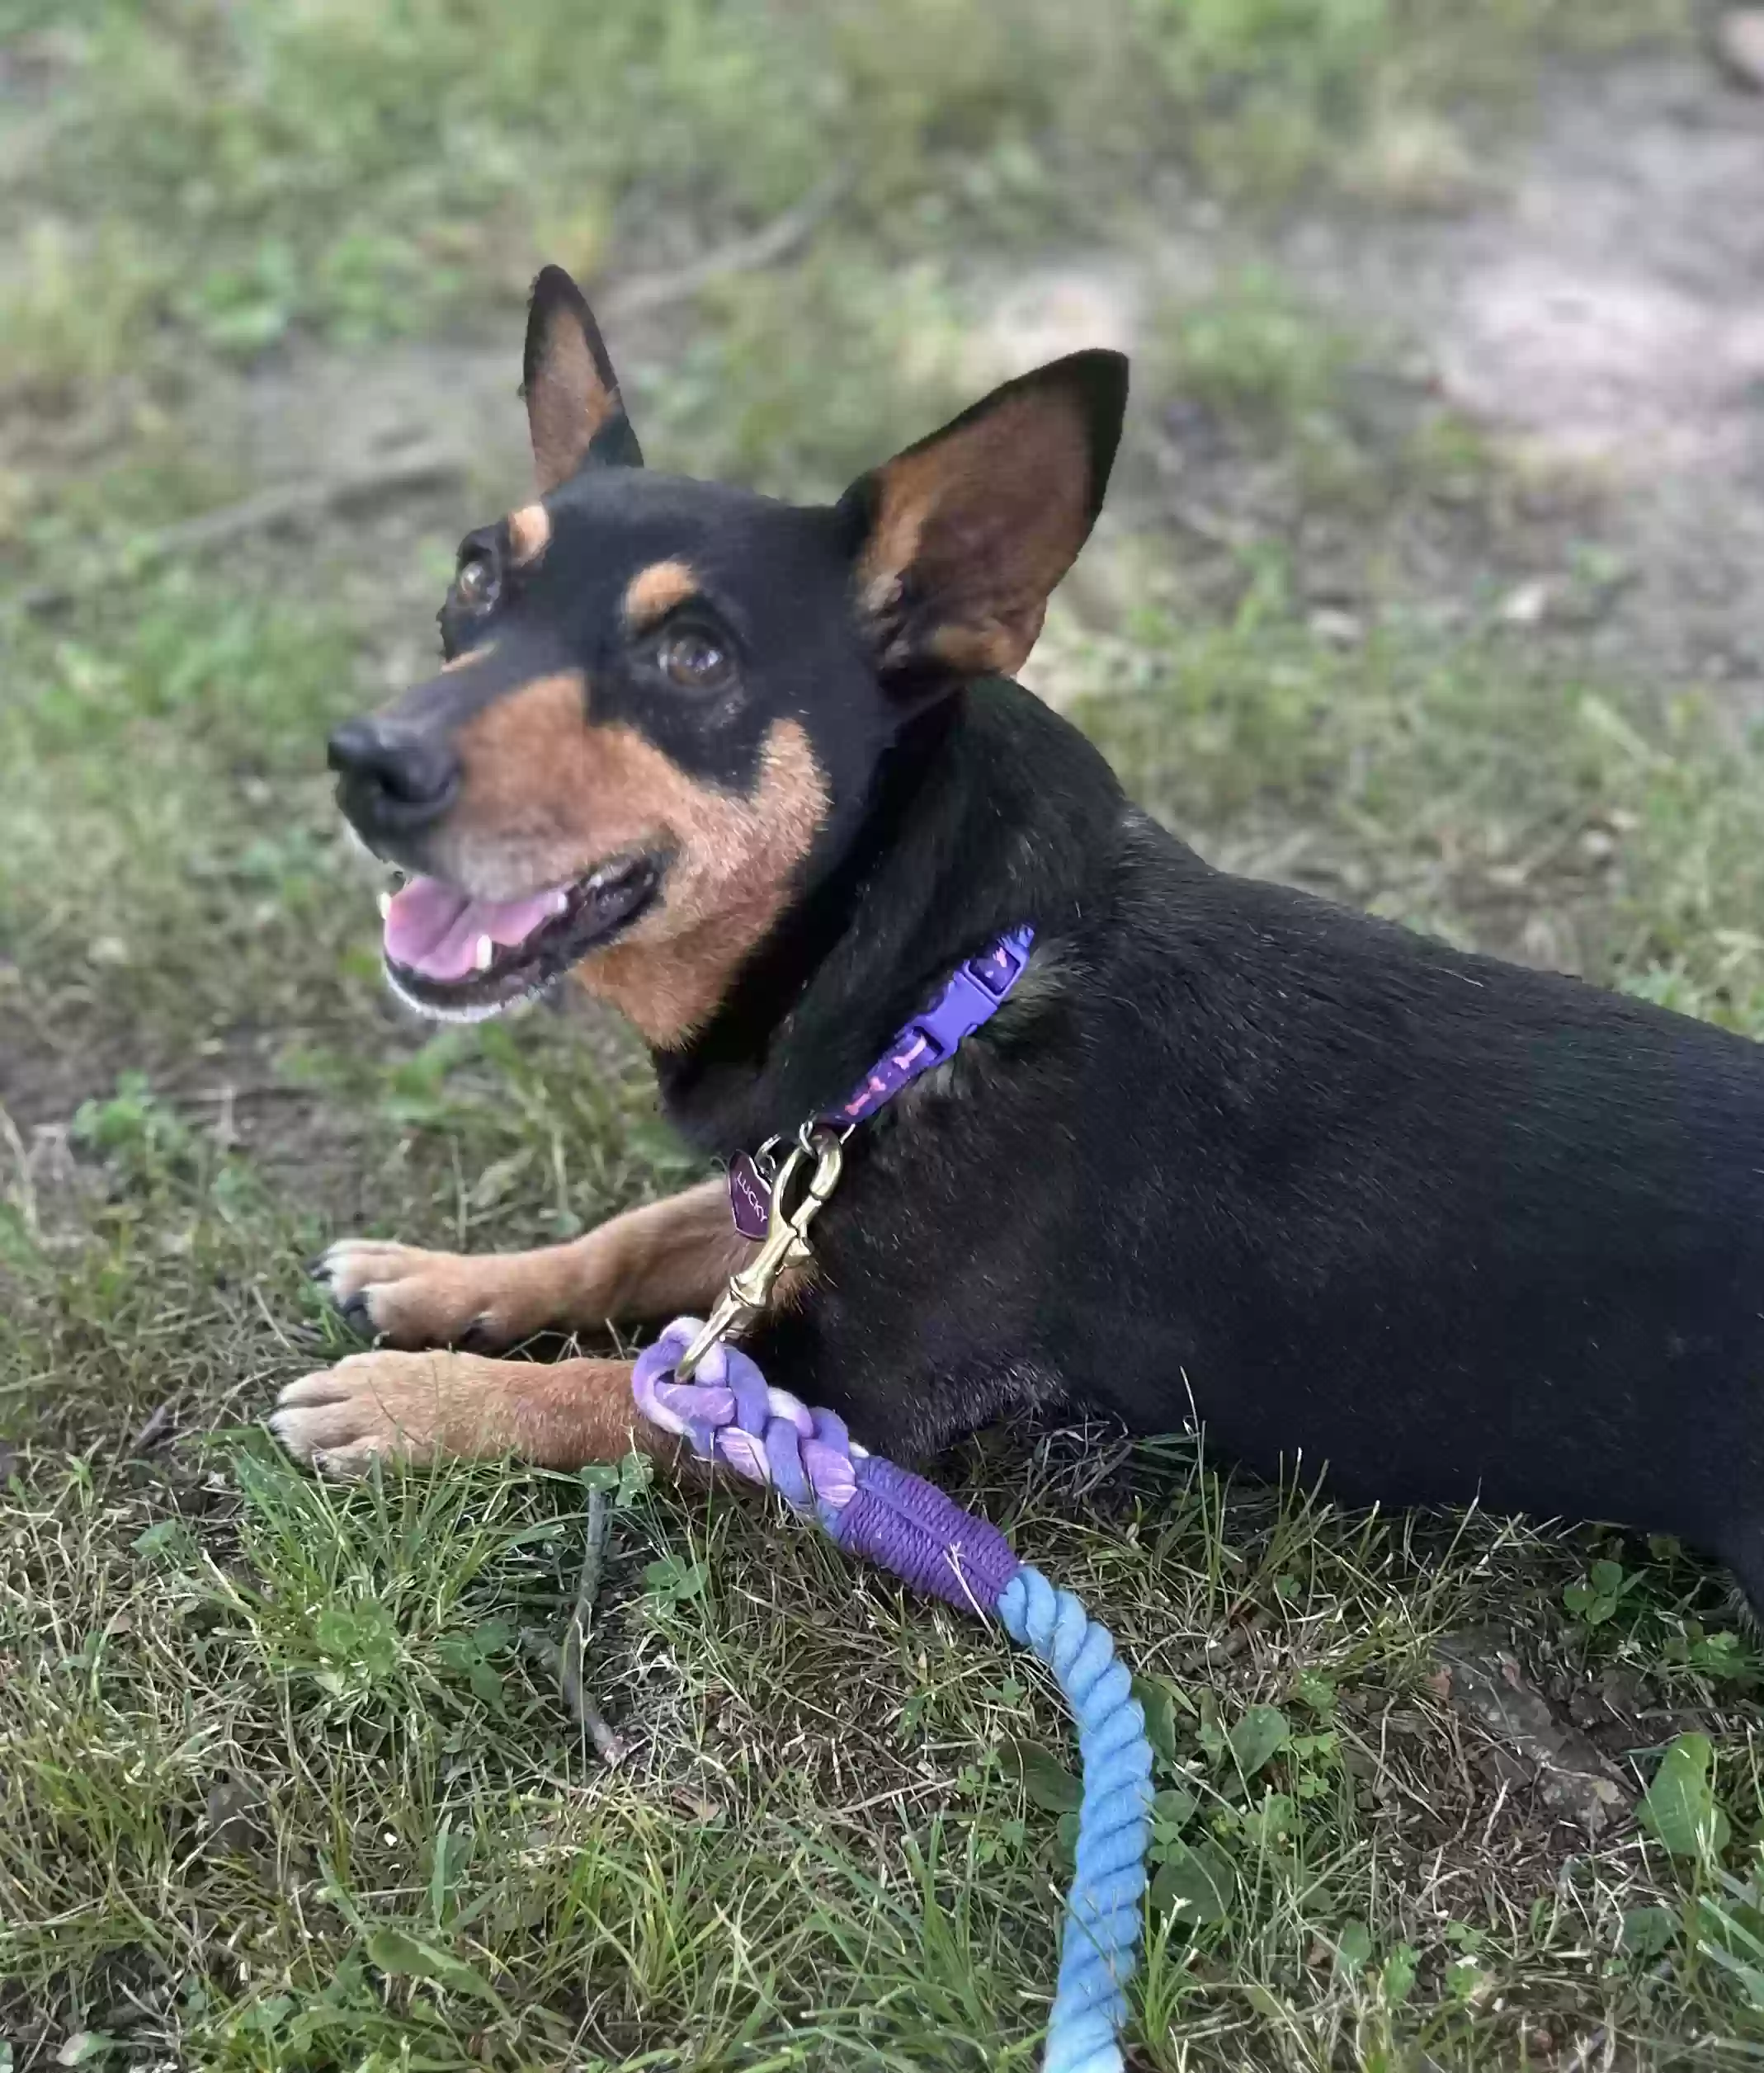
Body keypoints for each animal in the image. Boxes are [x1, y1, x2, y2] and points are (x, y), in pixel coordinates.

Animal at [271, 263, 1764, 1617]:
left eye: (694, 656)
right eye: (475, 574)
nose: (362, 760)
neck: (951, 987)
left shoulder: (847, 1400)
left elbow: (610, 1387)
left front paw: (411, 1402)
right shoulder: (791, 1197)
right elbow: (634, 1232)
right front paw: (435, 1280)